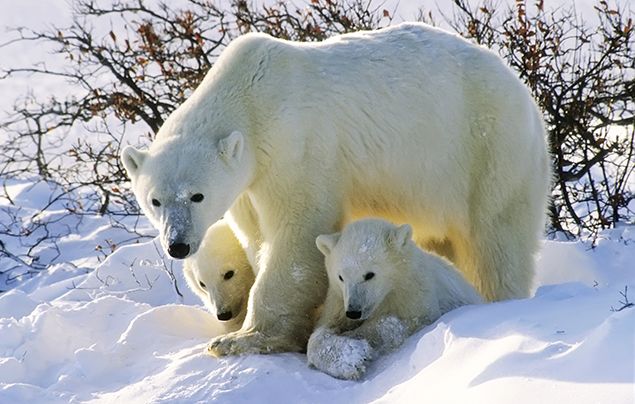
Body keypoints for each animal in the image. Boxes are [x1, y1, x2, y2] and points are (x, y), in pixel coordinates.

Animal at [119, 23, 552, 356]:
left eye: (197, 195)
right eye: (155, 200)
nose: (178, 245)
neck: (250, 97)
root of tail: (526, 96)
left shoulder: (296, 146)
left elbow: (297, 234)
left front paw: (242, 339)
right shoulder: (247, 185)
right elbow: (257, 238)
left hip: (488, 151)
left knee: (496, 240)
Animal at [308, 218, 482, 378]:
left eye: (369, 274)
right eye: (341, 277)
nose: (354, 312)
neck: (390, 291)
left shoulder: (416, 296)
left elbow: (396, 324)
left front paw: (356, 343)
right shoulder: (338, 301)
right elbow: (321, 331)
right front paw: (349, 357)